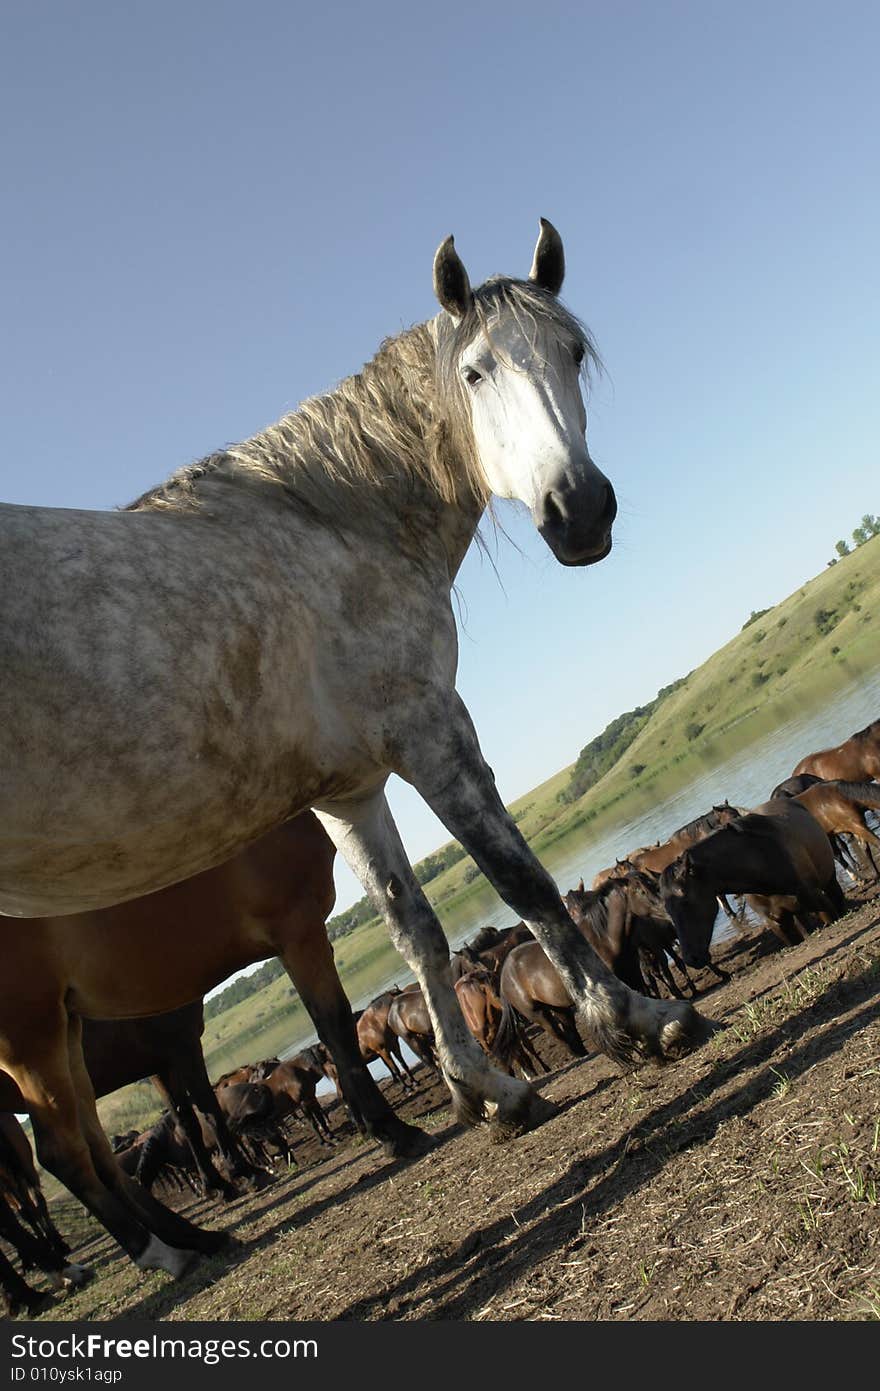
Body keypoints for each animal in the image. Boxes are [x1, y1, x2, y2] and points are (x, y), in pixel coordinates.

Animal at [0, 219, 711, 1140]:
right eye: (475, 371)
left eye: (573, 351)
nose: (580, 510)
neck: (329, 522)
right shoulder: (432, 729)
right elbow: (524, 879)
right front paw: (634, 1018)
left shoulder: (351, 791)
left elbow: (417, 928)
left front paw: (486, 1087)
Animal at [0, 812, 422, 1279]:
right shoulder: (295, 932)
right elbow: (331, 1029)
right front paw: (390, 1131)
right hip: (32, 1039)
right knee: (63, 1155)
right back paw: (147, 1251)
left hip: (65, 1033)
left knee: (98, 1155)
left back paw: (195, 1239)